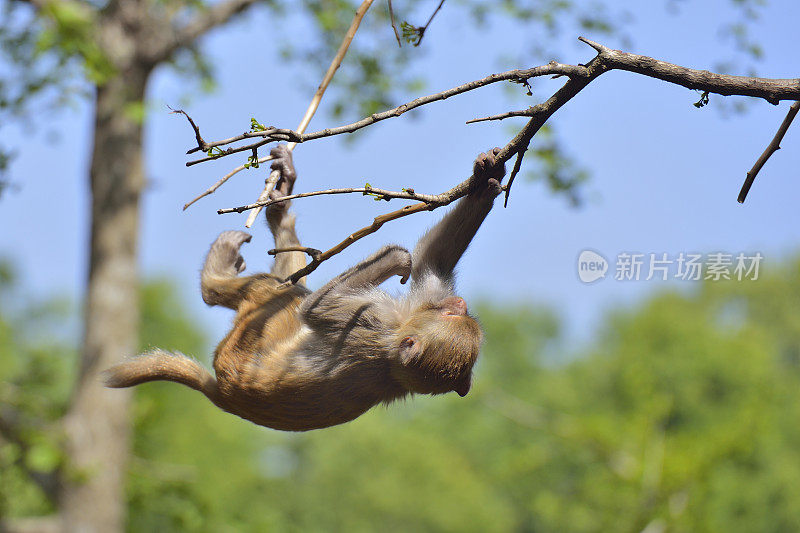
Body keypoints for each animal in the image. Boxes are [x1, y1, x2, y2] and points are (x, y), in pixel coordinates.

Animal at [104, 145, 506, 432]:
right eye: (453, 313)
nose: (460, 304)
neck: (395, 359)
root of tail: (223, 396)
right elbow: (432, 262)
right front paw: (487, 177)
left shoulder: (370, 323)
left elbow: (317, 309)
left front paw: (395, 259)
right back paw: (280, 204)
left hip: (239, 346)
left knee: (278, 295)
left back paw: (216, 277)